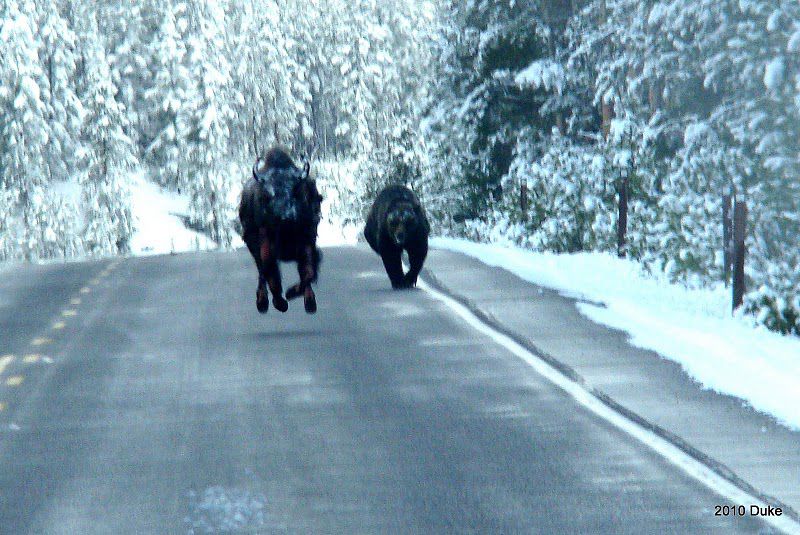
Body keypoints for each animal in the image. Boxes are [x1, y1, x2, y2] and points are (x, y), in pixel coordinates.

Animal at [239, 147, 324, 314]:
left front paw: (300, 298)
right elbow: (272, 275)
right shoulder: (266, 245)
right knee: (262, 272)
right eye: (269, 194)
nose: (287, 216)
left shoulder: (308, 242)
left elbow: (308, 272)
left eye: (295, 190)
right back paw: (262, 302)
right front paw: (281, 303)